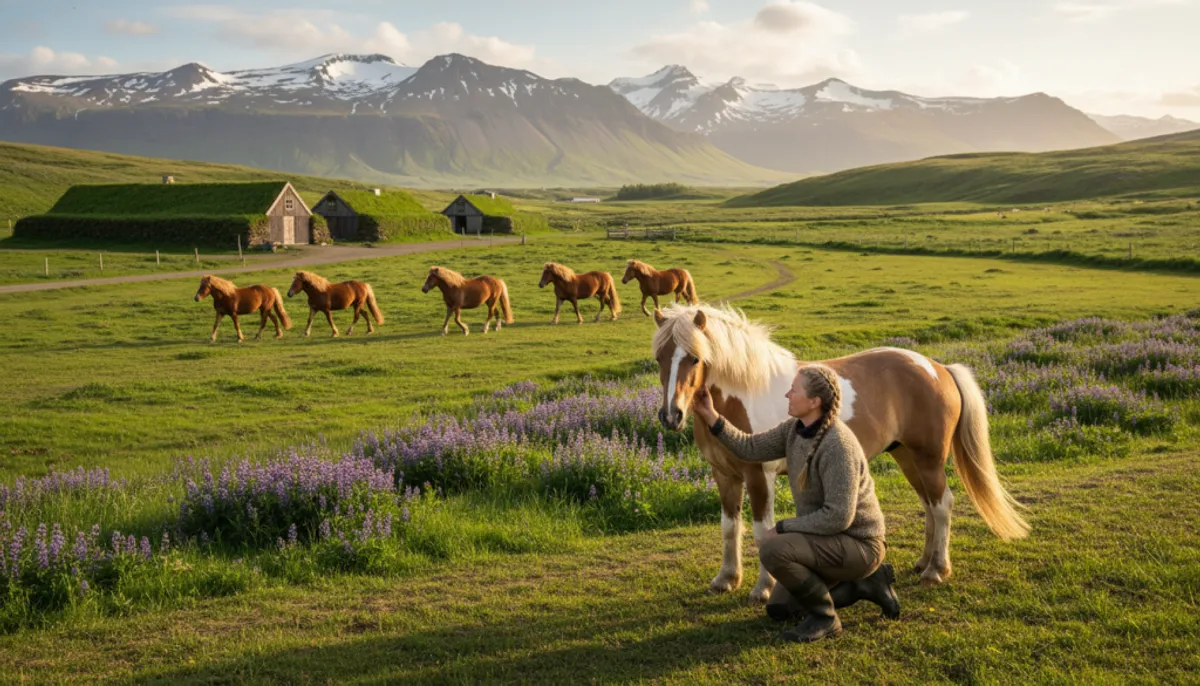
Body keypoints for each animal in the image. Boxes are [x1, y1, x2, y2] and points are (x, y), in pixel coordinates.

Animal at [651, 303, 1028, 600]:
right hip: (907, 457)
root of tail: (937, 368)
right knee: (929, 506)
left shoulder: (760, 477)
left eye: (695, 358)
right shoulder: (725, 476)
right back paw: (923, 562)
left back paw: (936, 570)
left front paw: (762, 589)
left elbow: (762, 531)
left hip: (929, 458)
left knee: (943, 504)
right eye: (659, 358)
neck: (743, 393)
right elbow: (729, 527)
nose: (671, 416)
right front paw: (726, 579)